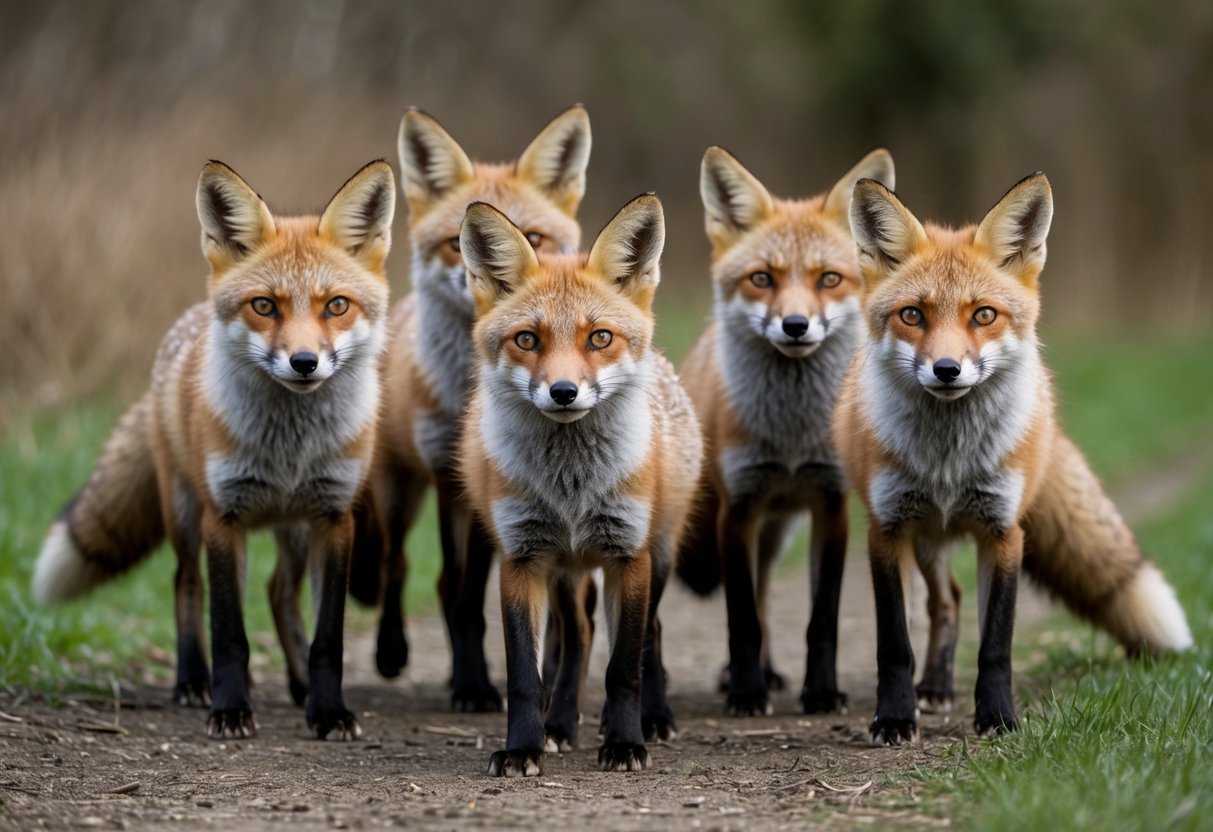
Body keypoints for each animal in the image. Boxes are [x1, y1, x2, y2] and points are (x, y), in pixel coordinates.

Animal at [32, 159, 396, 740]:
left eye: (336, 306)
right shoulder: (222, 516)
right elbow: (229, 633)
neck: (289, 450)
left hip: (294, 531)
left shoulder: (335, 516)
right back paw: (191, 682)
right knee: (186, 584)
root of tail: (184, 327)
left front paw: (328, 711)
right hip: (184, 514)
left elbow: (328, 638)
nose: (304, 363)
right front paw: (229, 709)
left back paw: (299, 687)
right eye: (264, 306)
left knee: (277, 591)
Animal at [355, 106, 591, 710]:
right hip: (396, 490)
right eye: (452, 244)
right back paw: (390, 652)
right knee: (397, 565)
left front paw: (481, 681)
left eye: (535, 239)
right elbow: (456, 592)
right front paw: (472, 684)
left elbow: (471, 598)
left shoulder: (489, 490)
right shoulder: (448, 475)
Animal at [457, 194, 703, 776]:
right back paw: (561, 725)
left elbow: (624, 667)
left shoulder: (628, 554)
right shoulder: (521, 557)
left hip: (658, 552)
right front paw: (524, 746)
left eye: (600, 338)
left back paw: (652, 720)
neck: (571, 488)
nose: (564, 391)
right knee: (580, 636)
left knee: (651, 635)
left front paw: (625, 743)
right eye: (527, 339)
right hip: (566, 571)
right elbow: (525, 675)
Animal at [676, 147, 895, 717]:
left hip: (775, 532)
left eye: (828, 279)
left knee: (768, 593)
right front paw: (746, 693)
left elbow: (821, 620)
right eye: (762, 279)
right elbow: (742, 620)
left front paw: (820, 692)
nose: (795, 326)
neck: (793, 433)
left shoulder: (831, 505)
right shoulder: (738, 509)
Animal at [834, 173, 1194, 744]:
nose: (947, 369)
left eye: (983, 315)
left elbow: (995, 644)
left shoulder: (1003, 531)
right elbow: (893, 643)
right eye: (912, 315)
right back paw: (931, 687)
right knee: (944, 600)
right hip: (925, 535)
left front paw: (998, 718)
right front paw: (893, 717)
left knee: (952, 601)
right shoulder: (886, 529)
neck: (949, 462)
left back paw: (939, 687)